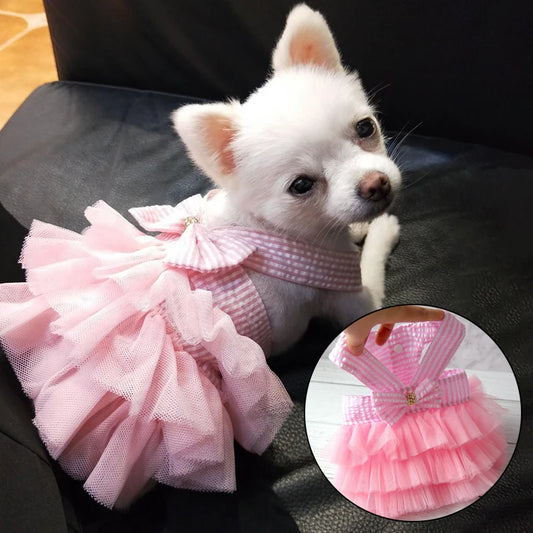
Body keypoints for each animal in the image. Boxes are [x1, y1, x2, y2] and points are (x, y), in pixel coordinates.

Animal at [171, 4, 400, 356]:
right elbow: (370, 262)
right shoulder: (356, 301)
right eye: (302, 185)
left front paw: (359, 226)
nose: (376, 184)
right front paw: (381, 229)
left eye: (366, 127)